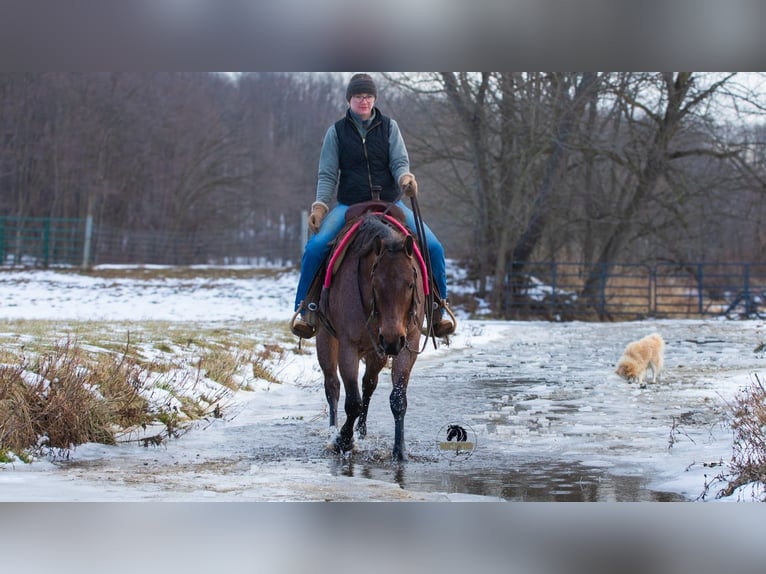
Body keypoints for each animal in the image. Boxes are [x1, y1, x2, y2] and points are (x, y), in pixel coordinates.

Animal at [316, 210, 427, 461]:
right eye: (375, 284)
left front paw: (399, 451)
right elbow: (352, 403)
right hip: (326, 340)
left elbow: (397, 399)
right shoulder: (348, 346)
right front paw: (342, 441)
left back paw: (362, 431)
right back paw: (333, 431)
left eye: (410, 284)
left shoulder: (408, 342)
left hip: (378, 352)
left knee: (369, 384)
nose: (392, 339)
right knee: (332, 386)